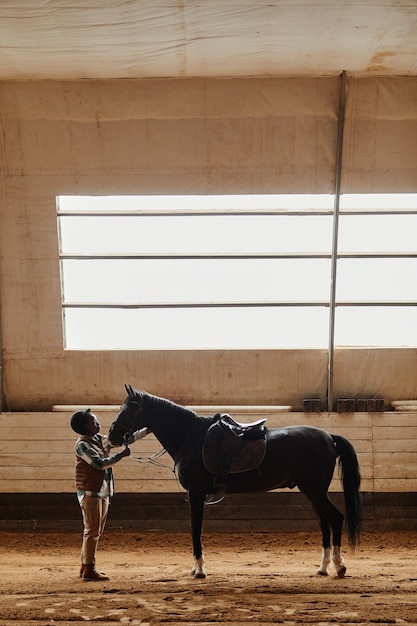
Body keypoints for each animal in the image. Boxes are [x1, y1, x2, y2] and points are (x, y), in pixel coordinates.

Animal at [108, 382, 360, 576]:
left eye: (129, 408)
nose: (111, 437)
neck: (190, 438)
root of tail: (328, 436)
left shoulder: (196, 493)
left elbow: (195, 529)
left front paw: (199, 570)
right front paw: (196, 568)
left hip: (316, 491)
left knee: (335, 519)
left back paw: (338, 566)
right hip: (313, 493)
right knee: (324, 524)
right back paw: (323, 568)